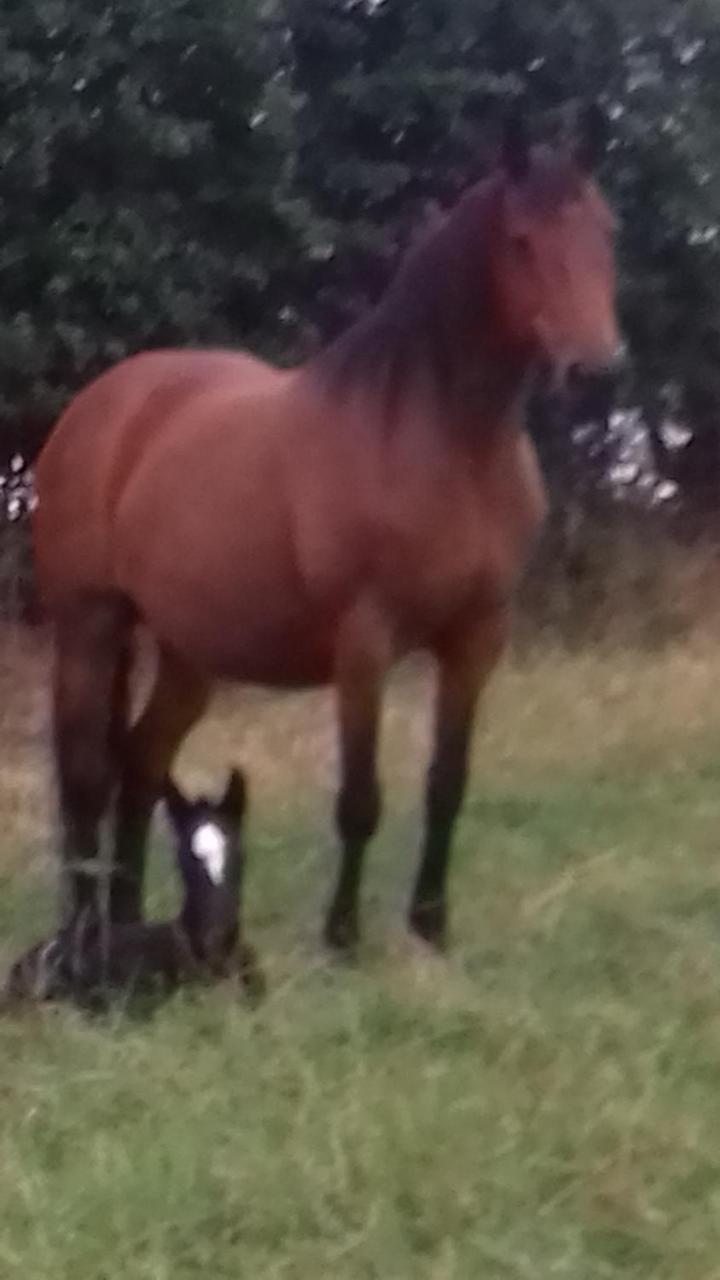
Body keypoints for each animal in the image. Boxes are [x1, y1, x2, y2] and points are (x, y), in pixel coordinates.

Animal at [30, 110, 620, 957]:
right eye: (520, 240)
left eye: (606, 230)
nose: (597, 370)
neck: (439, 438)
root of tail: (105, 402)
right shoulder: (364, 643)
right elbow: (360, 797)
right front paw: (343, 936)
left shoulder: (478, 637)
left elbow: (448, 784)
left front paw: (431, 926)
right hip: (90, 623)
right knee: (84, 779)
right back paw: (84, 940)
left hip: (189, 651)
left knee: (141, 766)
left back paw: (134, 926)